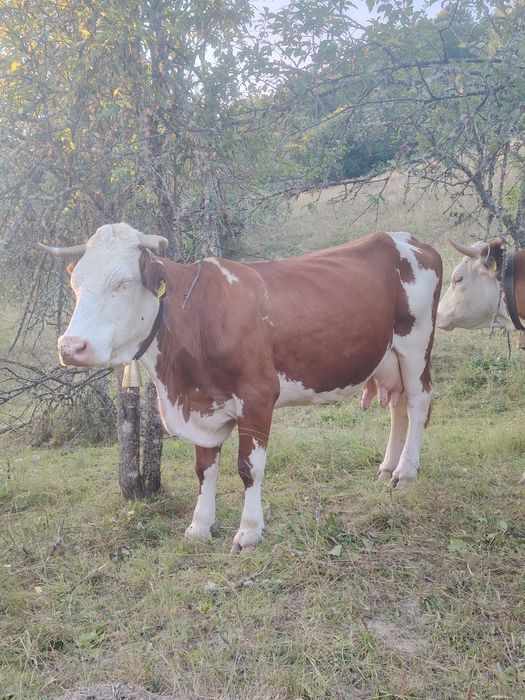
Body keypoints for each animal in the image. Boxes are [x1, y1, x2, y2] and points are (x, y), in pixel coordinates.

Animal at [39, 223, 442, 551]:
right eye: (76, 285)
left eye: (122, 282)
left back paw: (406, 471)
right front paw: (199, 527)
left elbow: (249, 468)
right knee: (398, 405)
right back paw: (388, 467)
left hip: (416, 343)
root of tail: (407, 238)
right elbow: (204, 469)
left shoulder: (258, 398)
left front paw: (248, 531)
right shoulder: (203, 405)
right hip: (389, 355)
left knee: (418, 401)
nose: (70, 347)